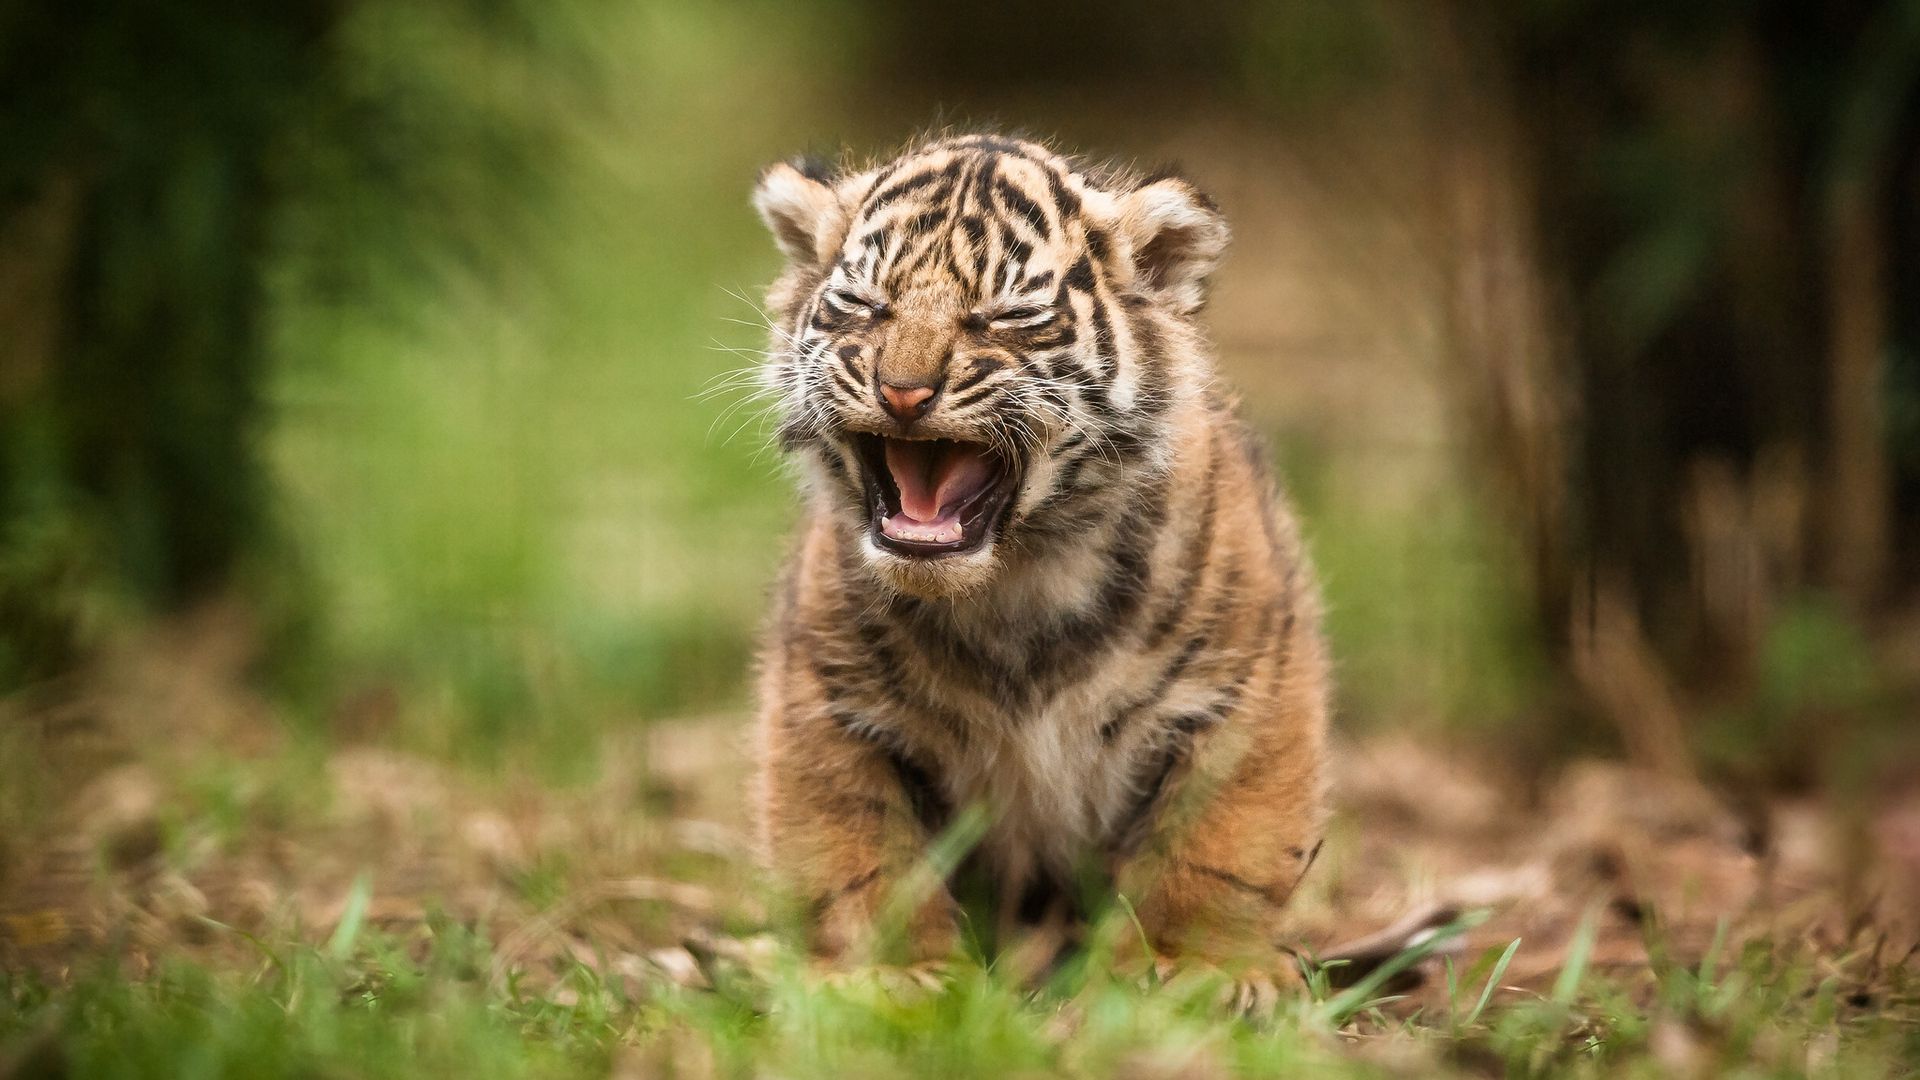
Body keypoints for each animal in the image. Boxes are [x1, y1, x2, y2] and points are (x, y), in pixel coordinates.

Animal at [748, 133, 1328, 1008]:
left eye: (1006, 317)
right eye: (863, 305)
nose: (903, 391)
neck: (1014, 580)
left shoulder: (1245, 686)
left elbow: (1219, 842)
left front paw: (1199, 969)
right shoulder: (827, 700)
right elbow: (858, 854)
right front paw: (893, 973)